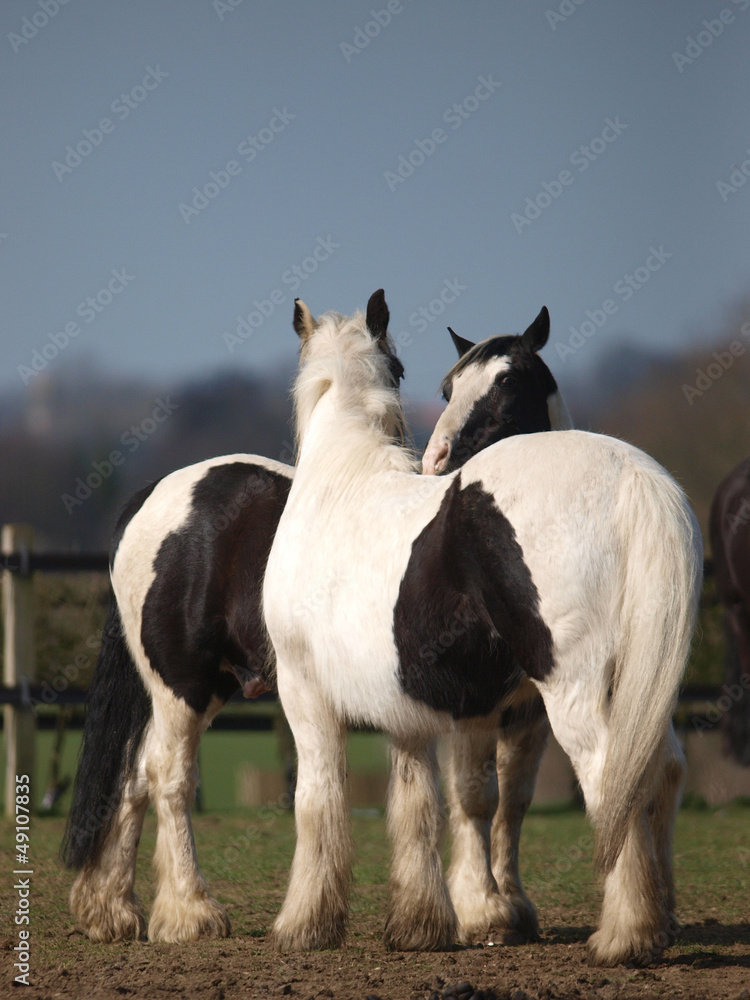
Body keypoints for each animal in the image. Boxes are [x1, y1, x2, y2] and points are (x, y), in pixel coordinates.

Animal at [61, 297, 569, 945]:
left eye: (509, 382)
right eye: (448, 386)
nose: (439, 462)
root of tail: (157, 492)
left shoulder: (523, 713)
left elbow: (509, 801)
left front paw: (505, 906)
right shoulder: (461, 707)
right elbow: (470, 798)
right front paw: (482, 910)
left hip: (210, 684)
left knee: (131, 780)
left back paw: (112, 910)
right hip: (182, 686)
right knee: (167, 775)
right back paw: (190, 912)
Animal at [262, 290, 703, 966]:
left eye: (508, 385)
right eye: (440, 386)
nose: (438, 459)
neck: (340, 481)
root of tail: (632, 475)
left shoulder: (304, 693)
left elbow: (319, 799)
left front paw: (304, 923)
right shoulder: (440, 713)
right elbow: (435, 804)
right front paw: (438, 922)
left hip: (576, 693)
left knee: (613, 777)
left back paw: (626, 935)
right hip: (637, 686)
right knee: (661, 769)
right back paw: (656, 919)